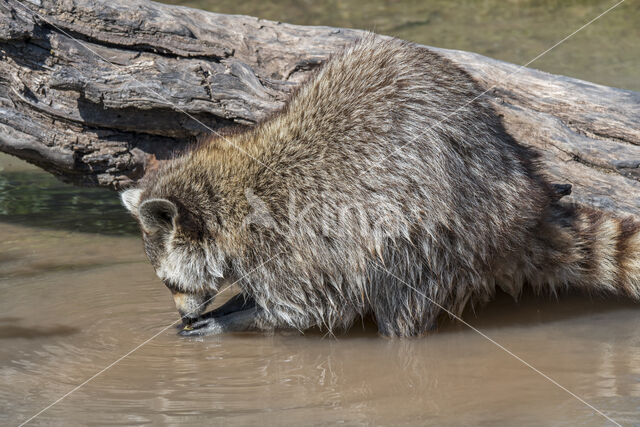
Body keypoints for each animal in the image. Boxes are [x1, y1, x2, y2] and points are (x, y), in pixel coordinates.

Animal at [121, 36, 640, 338]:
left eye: (170, 283)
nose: (183, 315)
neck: (226, 199)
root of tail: (526, 203)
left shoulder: (291, 236)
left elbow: (311, 307)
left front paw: (236, 318)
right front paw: (235, 302)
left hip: (444, 231)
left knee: (400, 275)